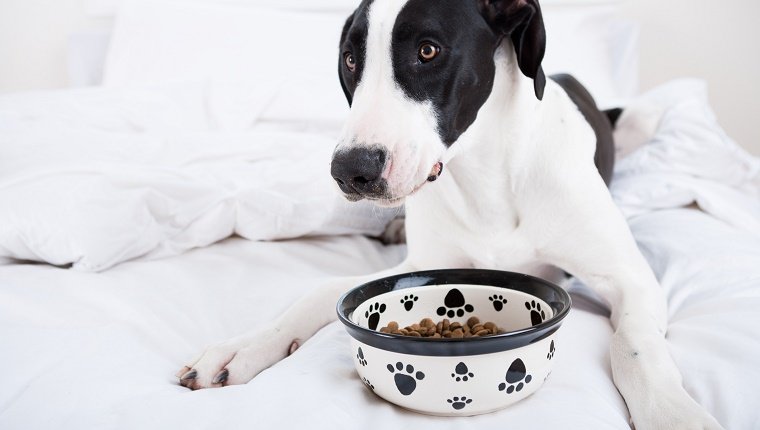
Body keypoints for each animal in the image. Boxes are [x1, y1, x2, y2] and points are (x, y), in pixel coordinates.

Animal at [180, 1, 724, 428]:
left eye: (428, 51)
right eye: (351, 59)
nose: (349, 170)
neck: (486, 171)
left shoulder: (630, 278)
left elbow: (633, 347)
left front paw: (674, 412)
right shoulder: (421, 266)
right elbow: (317, 292)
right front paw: (246, 346)